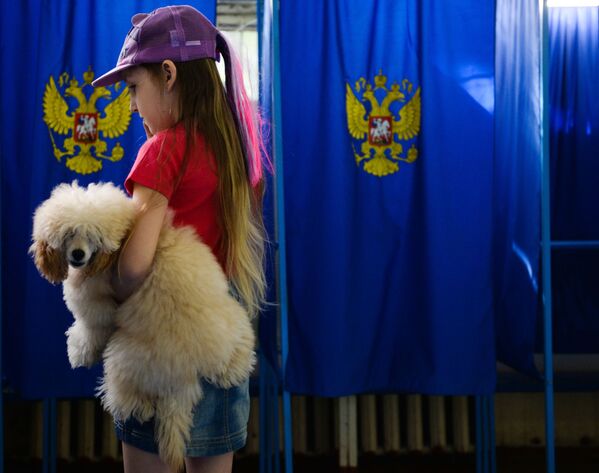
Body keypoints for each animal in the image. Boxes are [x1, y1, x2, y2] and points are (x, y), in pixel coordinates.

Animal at [30, 181, 255, 468]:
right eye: (69, 234)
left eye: (92, 235)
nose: (78, 255)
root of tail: (185, 377)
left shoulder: (96, 303)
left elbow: (89, 328)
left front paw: (79, 352)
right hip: (233, 317)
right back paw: (235, 368)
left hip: (123, 357)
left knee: (129, 393)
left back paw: (136, 405)